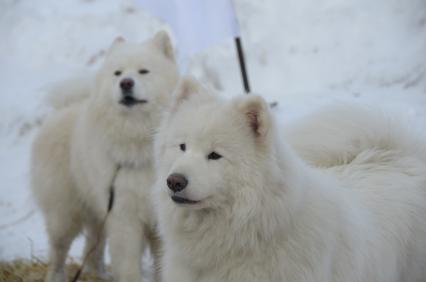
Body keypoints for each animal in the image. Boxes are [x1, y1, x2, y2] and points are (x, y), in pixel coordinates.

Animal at [31, 31, 178, 282]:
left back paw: (99, 273)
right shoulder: (124, 215)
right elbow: (128, 265)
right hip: (65, 212)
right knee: (58, 249)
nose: (125, 83)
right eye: (118, 73)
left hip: (96, 211)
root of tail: (63, 110)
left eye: (143, 71)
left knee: (93, 246)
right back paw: (56, 276)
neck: (139, 138)